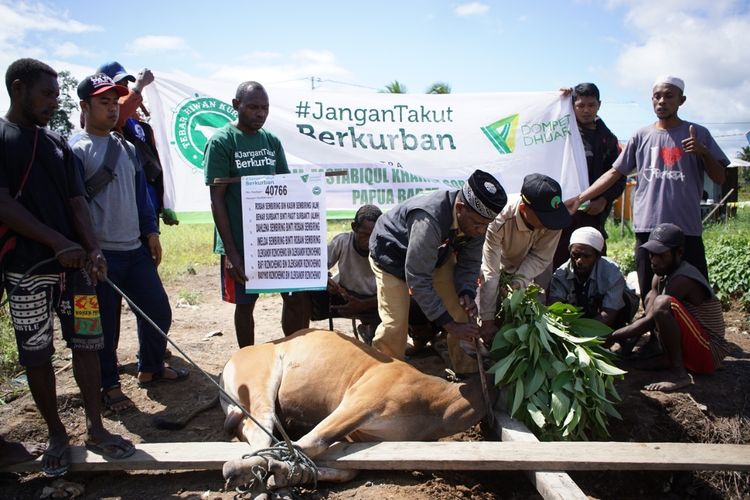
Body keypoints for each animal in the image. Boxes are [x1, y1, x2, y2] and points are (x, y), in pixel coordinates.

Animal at [220, 326, 496, 490]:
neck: (435, 405)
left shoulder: (359, 435)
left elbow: (348, 469)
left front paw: (292, 473)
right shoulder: (360, 402)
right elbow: (310, 443)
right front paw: (281, 468)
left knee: (248, 428)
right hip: (259, 383)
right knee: (260, 429)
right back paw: (239, 468)